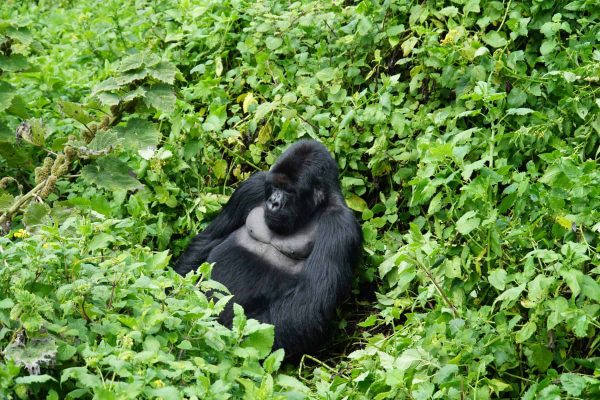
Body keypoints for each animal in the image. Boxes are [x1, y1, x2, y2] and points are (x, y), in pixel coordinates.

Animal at [173, 140, 360, 356]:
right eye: (275, 186)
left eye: (289, 191)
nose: (273, 203)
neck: (317, 206)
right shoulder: (252, 186)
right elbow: (208, 240)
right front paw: (174, 294)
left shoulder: (340, 227)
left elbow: (309, 305)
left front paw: (225, 340)